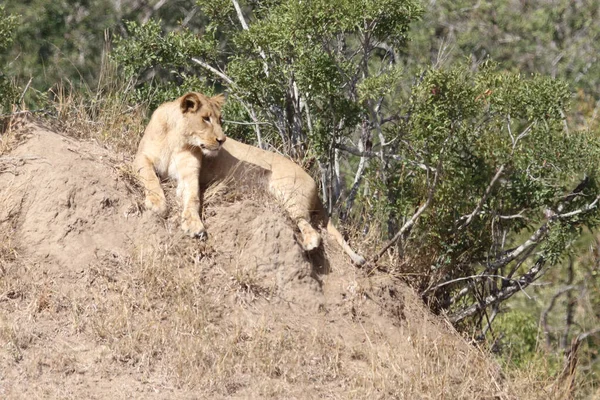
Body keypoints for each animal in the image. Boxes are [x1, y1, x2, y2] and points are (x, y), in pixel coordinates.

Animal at [135, 91, 366, 266]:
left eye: (220, 120)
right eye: (206, 118)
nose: (222, 140)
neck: (178, 139)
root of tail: (314, 183)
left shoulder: (190, 172)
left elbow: (193, 198)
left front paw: (193, 224)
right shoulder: (141, 157)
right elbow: (151, 178)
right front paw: (157, 203)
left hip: (287, 194)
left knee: (311, 229)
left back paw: (307, 244)